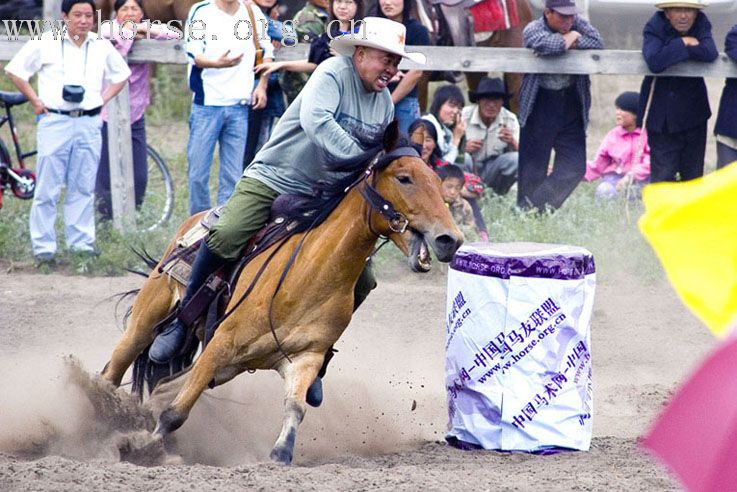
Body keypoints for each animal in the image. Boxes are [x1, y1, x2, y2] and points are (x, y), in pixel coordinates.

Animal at [100, 126, 462, 466]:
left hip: (226, 368)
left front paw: (280, 453)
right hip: (147, 322)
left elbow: (294, 409)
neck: (307, 275)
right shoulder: (220, 345)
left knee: (163, 387)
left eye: (436, 179)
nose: (450, 239)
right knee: (114, 371)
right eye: (404, 178)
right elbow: (177, 411)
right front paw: (141, 448)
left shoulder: (305, 357)